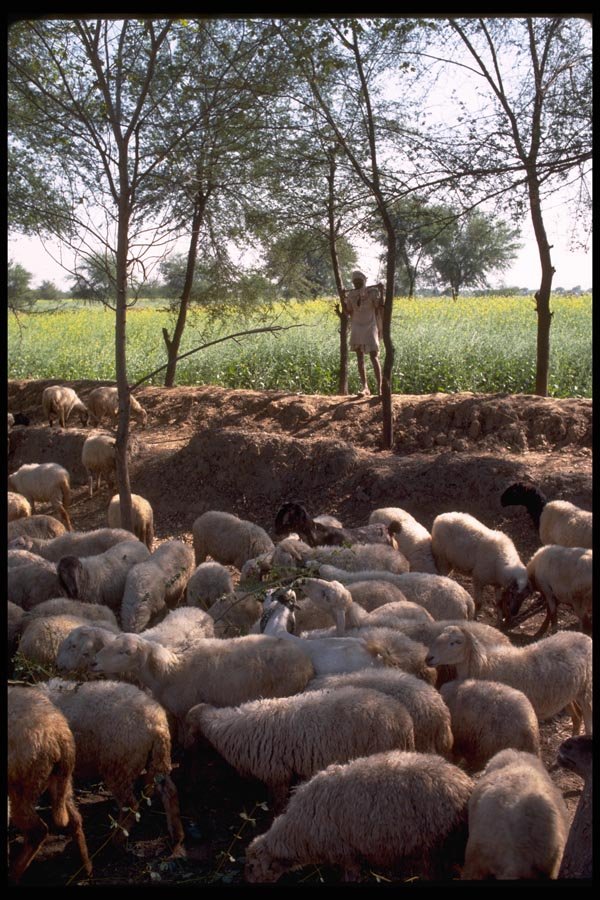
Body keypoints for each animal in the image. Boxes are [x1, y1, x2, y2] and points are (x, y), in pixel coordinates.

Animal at [7, 685, 92, 883]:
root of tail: (60, 734)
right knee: (75, 819)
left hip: (22, 786)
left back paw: (12, 875)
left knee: (38, 831)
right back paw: (85, 869)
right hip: (62, 782)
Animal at [38, 678, 184, 854]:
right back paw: (177, 836)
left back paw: (115, 840)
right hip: (155, 759)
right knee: (170, 791)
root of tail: (157, 724)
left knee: (130, 805)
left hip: (117, 765)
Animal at [184, 687, 415, 812]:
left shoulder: (276, 773)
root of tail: (405, 719)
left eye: (188, 726)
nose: (184, 746)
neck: (229, 729)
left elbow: (277, 803)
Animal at [244, 750, 473, 883]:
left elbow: (350, 876)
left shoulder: (346, 852)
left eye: (252, 866)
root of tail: (464, 782)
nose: (248, 881)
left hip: (434, 846)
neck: (298, 832)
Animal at [425, 625, 593, 735]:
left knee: (587, 718)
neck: (485, 664)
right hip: (568, 693)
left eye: (456, 642)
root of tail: (583, 635)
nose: (429, 658)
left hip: (586, 690)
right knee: (577, 717)